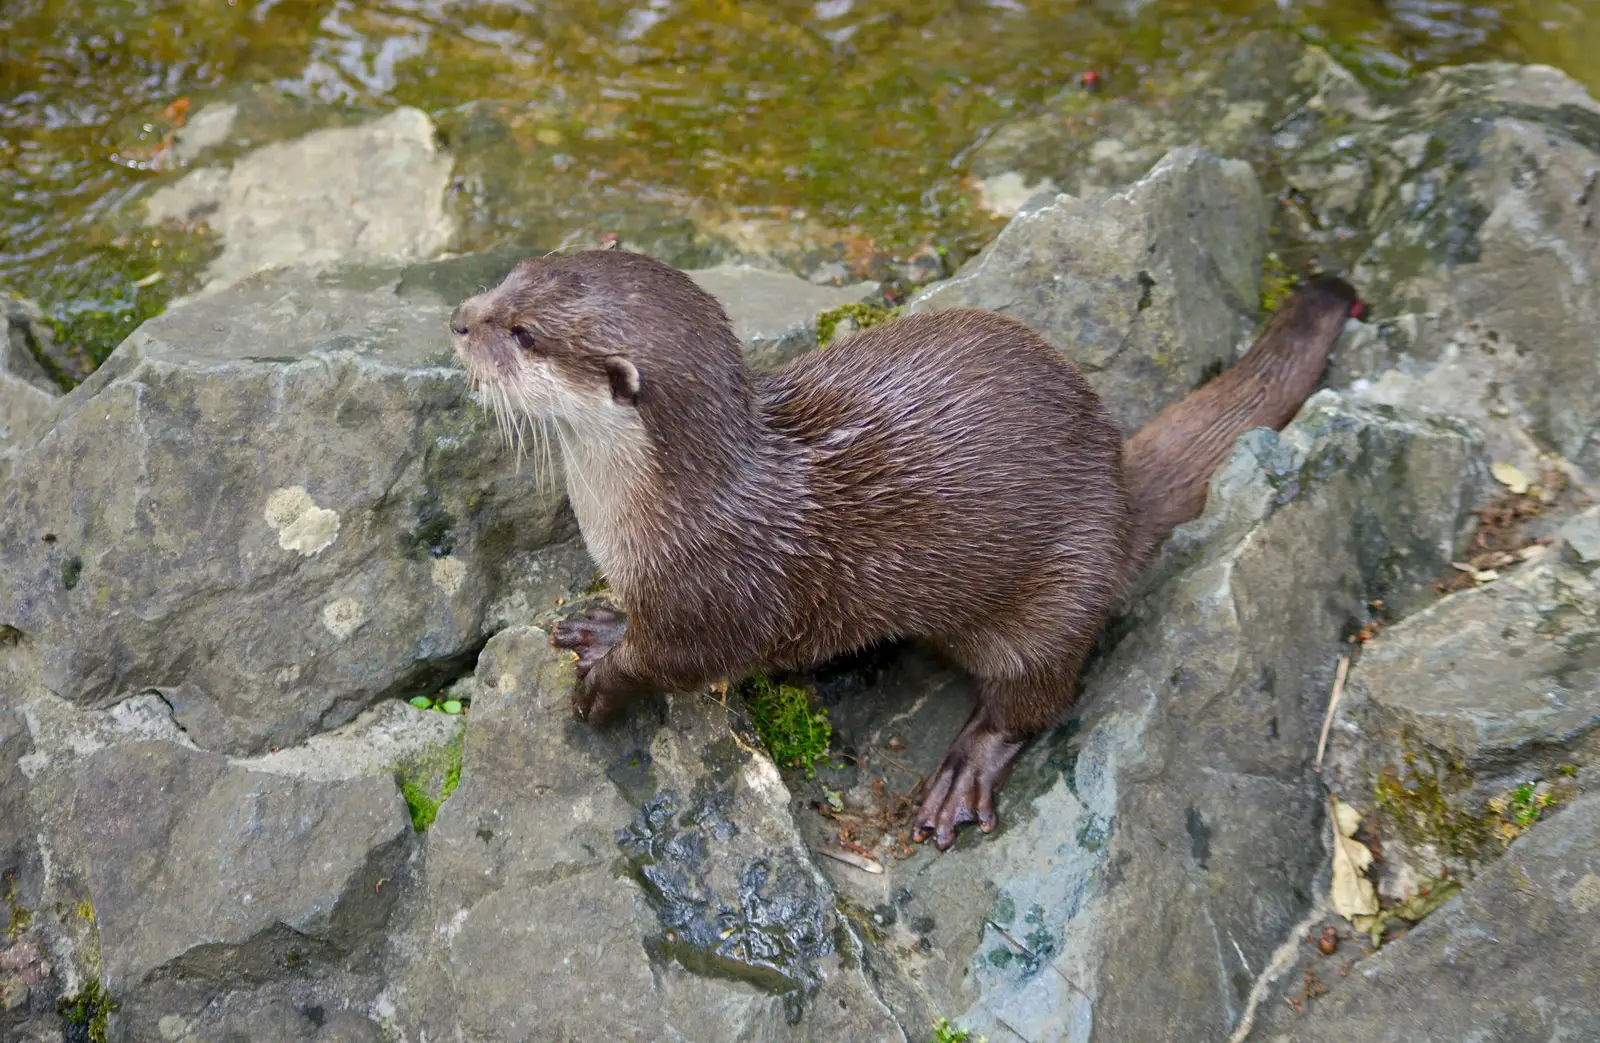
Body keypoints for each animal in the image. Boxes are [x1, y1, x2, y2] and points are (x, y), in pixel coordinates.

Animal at [451, 247, 1363, 851]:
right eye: (511, 275)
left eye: (523, 333)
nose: (458, 318)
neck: (656, 510)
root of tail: (1118, 485)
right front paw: (603, 625)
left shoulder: (721, 590)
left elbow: (679, 660)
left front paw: (607, 680)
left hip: (1056, 595)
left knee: (1036, 698)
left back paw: (963, 772)